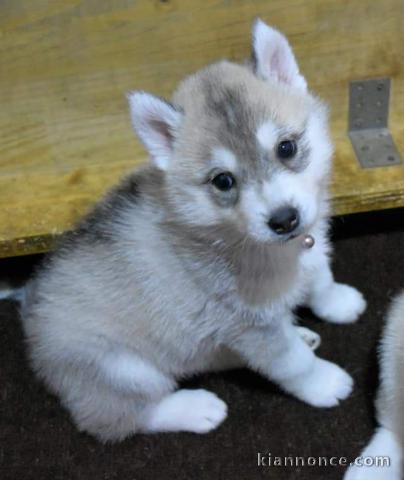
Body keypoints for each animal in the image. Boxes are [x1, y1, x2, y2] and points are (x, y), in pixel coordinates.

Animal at [19, 21, 366, 442]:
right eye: (223, 180)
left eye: (286, 147)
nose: (284, 220)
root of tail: (31, 312)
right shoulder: (249, 325)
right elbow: (293, 364)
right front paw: (324, 383)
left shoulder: (306, 255)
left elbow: (320, 278)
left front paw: (338, 301)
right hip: (122, 370)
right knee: (122, 417)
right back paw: (195, 408)